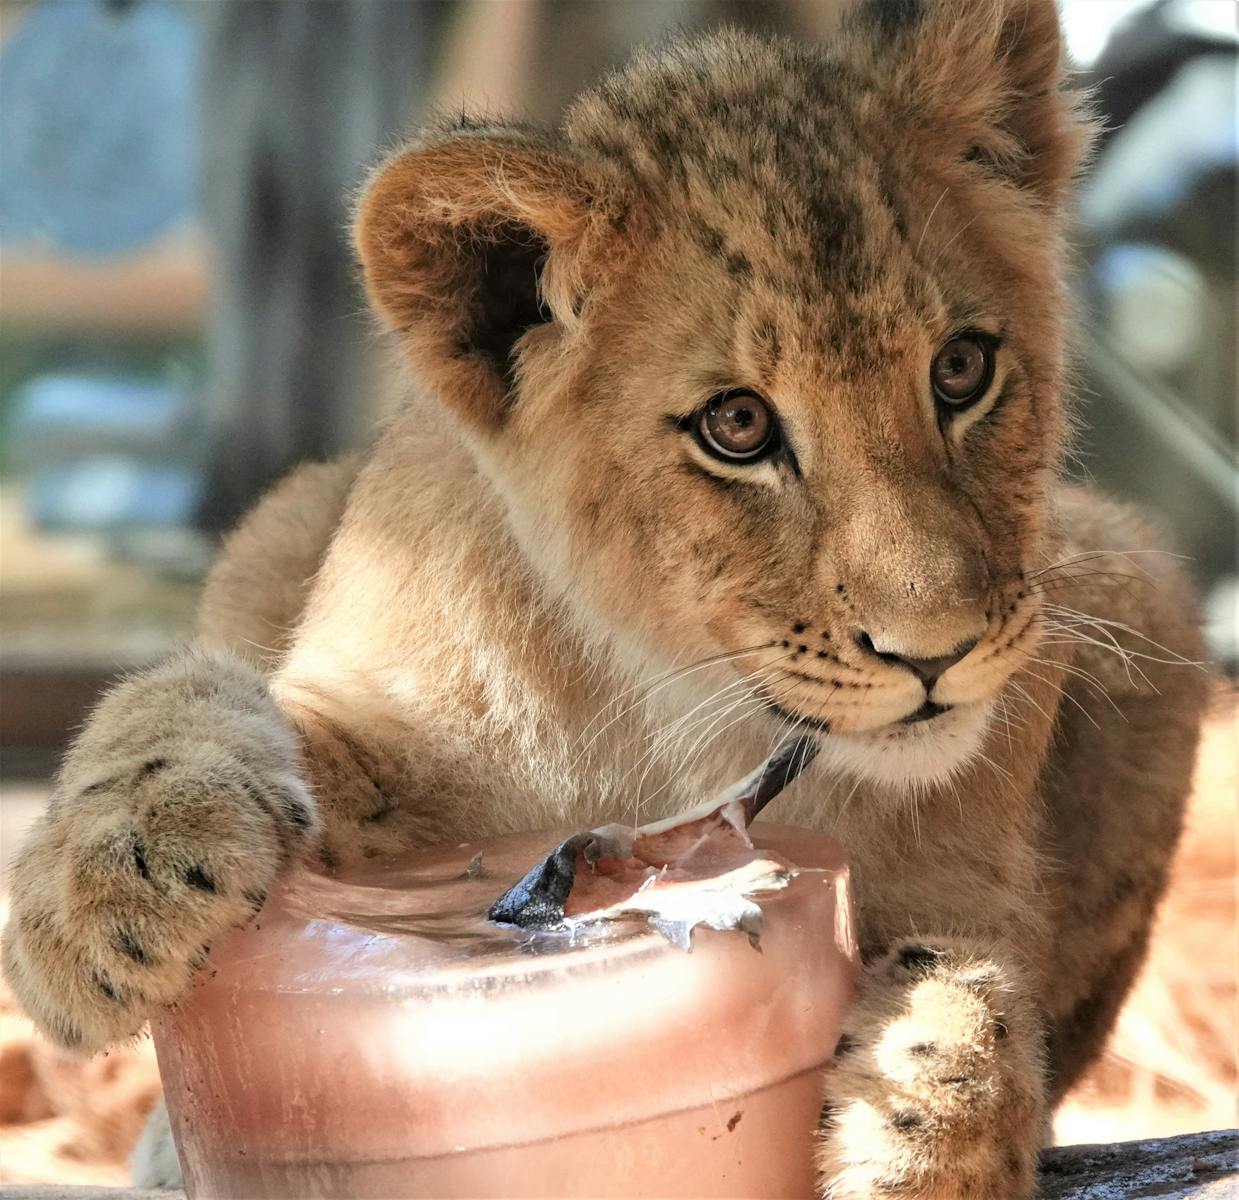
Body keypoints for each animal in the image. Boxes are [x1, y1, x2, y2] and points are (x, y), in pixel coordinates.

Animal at [2, 2, 1207, 1196]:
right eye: (737, 427)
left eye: (961, 369)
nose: (935, 653)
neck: (667, 708)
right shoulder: (368, 707)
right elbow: (195, 704)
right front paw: (109, 883)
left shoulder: (973, 874)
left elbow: (982, 990)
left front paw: (926, 1121)